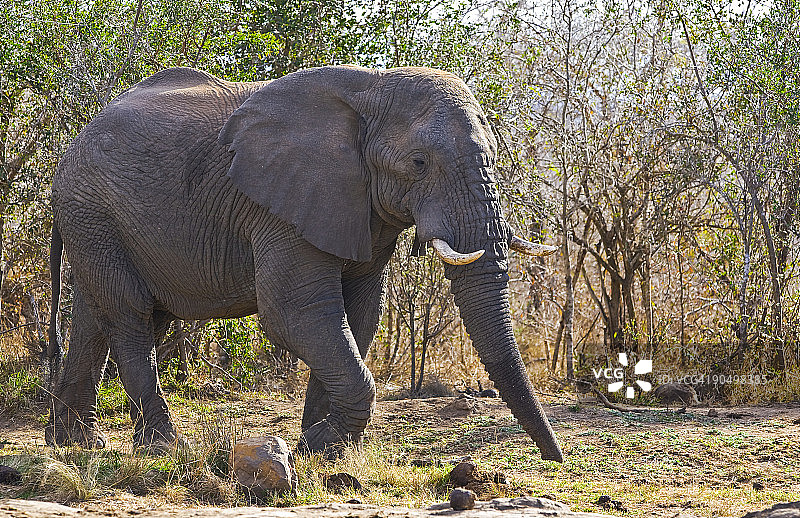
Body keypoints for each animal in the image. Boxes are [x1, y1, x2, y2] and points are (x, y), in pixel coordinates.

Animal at [46, 65, 564, 462]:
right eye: (419, 163)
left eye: (492, 156)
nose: (553, 457)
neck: (372, 89)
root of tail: (70, 149)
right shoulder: (281, 210)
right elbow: (297, 315)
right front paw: (318, 446)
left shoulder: (364, 210)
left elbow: (358, 315)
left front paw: (319, 441)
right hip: (94, 214)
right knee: (132, 318)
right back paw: (162, 447)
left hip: (96, 224)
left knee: (103, 318)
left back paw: (75, 443)